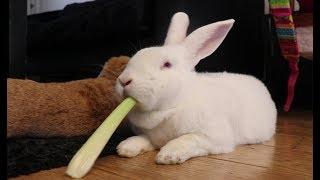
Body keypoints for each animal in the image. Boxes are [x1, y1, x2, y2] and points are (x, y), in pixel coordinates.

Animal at [115, 11, 278, 165]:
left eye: (167, 64)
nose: (124, 81)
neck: (170, 108)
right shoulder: (152, 136)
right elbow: (143, 138)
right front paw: (125, 147)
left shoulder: (213, 137)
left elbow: (187, 139)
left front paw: (168, 156)